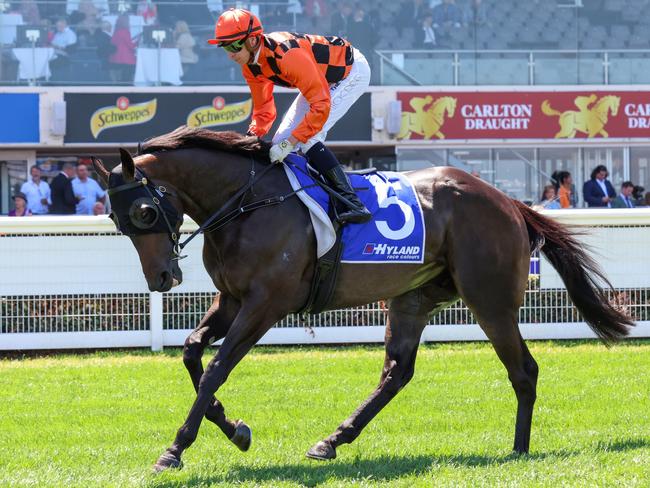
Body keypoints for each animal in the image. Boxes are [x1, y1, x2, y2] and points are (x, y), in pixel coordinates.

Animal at [92, 127, 632, 472]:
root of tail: (509, 202)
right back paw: (332, 440)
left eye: (144, 211)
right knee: (397, 372)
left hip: (491, 299)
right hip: (414, 298)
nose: (161, 276)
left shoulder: (266, 303)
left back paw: (518, 450)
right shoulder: (231, 299)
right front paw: (236, 429)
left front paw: (176, 448)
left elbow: (217, 367)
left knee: (523, 370)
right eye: (116, 219)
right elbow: (192, 353)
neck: (246, 204)